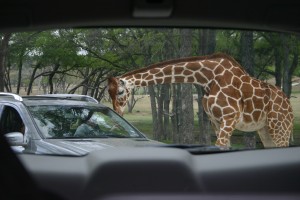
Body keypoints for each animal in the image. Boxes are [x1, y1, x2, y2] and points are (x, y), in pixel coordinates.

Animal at [106, 52, 294, 148]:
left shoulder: (230, 118)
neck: (208, 78)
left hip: (280, 129)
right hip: (265, 130)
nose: (118, 112)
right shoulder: (215, 121)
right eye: (109, 93)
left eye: (120, 91)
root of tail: (290, 107)